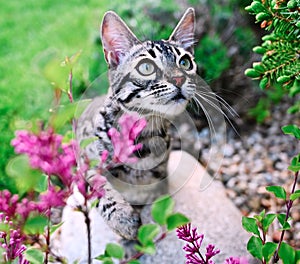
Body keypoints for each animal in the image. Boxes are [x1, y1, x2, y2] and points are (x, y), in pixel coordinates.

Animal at [76, 8, 200, 240]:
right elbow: (97, 185)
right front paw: (122, 218)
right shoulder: (83, 160)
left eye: (185, 62)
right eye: (146, 67)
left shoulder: (160, 173)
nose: (179, 79)